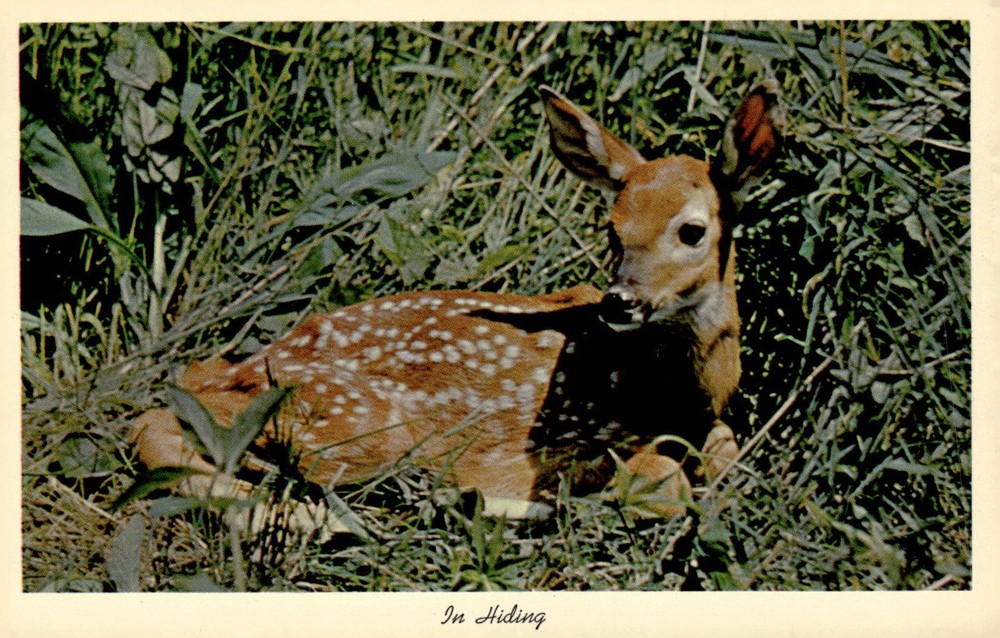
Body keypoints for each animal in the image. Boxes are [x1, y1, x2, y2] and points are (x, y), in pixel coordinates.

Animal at [131, 81, 784, 534]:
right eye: (612, 229)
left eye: (692, 231)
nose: (622, 300)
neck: (681, 390)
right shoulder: (589, 434)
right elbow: (665, 487)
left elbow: (726, 453)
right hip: (359, 426)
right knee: (164, 428)